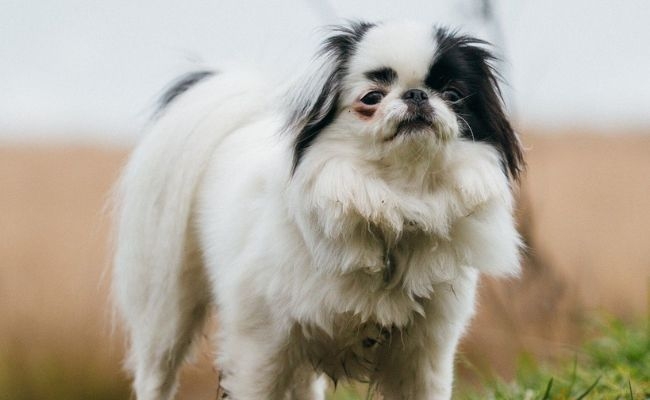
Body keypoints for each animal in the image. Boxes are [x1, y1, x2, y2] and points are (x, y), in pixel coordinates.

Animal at [114, 19, 524, 400]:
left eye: (453, 95)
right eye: (371, 98)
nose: (417, 94)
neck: (394, 198)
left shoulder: (425, 353)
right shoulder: (261, 345)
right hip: (168, 309)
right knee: (156, 375)